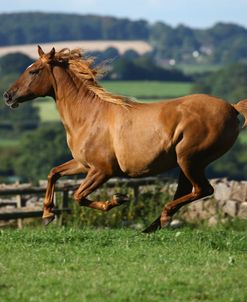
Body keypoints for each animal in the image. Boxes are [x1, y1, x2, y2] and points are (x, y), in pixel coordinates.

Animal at [3, 46, 247, 231]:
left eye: (33, 71)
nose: (7, 95)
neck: (89, 116)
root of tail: (233, 108)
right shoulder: (83, 164)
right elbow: (53, 173)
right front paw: (47, 214)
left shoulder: (102, 170)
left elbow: (79, 196)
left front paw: (117, 199)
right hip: (189, 162)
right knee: (188, 190)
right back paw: (153, 226)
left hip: (188, 159)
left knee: (202, 190)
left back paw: (163, 218)